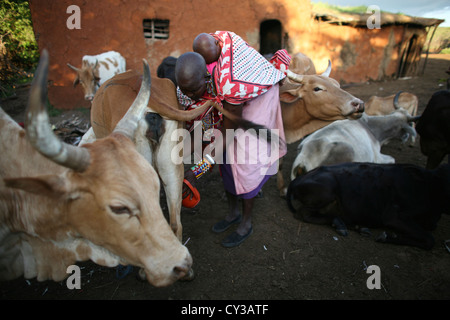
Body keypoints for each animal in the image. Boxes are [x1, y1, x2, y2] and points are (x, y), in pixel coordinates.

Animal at [288, 162, 450, 250]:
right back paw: (341, 225)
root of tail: (298, 179)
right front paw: (387, 236)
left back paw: (354, 226)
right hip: (327, 190)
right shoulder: (393, 215)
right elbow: (429, 240)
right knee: (303, 213)